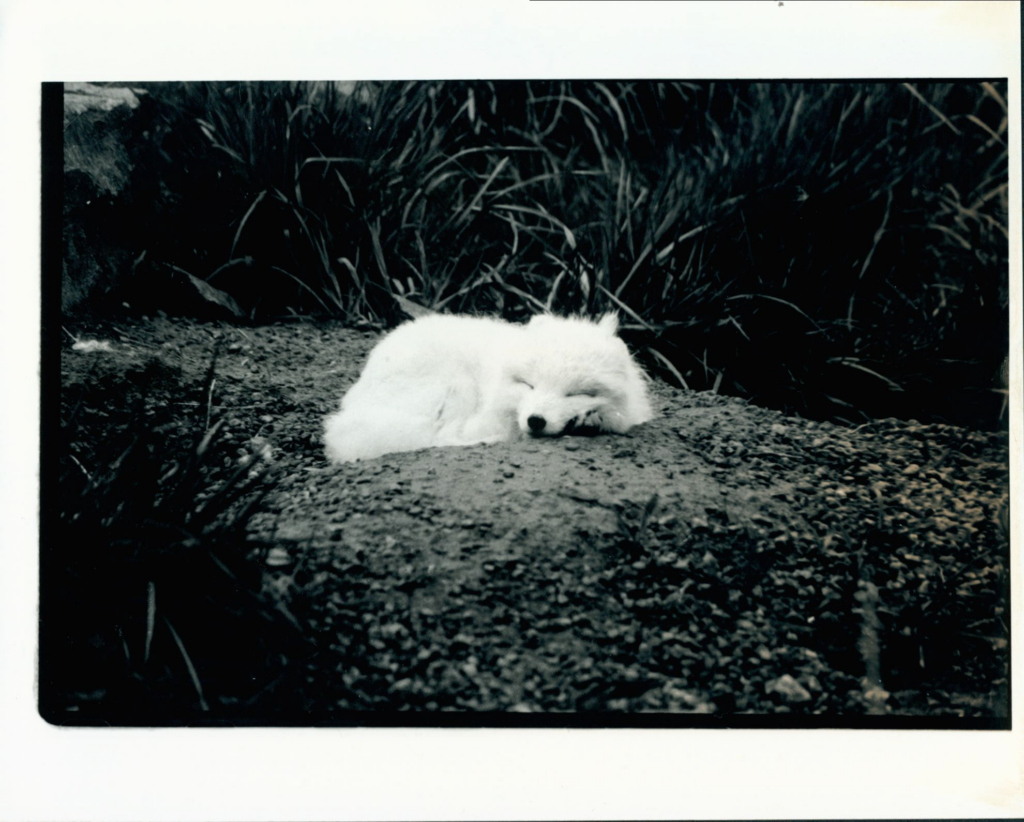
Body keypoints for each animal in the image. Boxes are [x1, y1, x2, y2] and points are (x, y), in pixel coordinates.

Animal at [321, 311, 655, 462]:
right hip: (456, 386)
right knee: (440, 436)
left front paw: (591, 419)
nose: (535, 421)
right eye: (529, 385)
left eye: (575, 393)